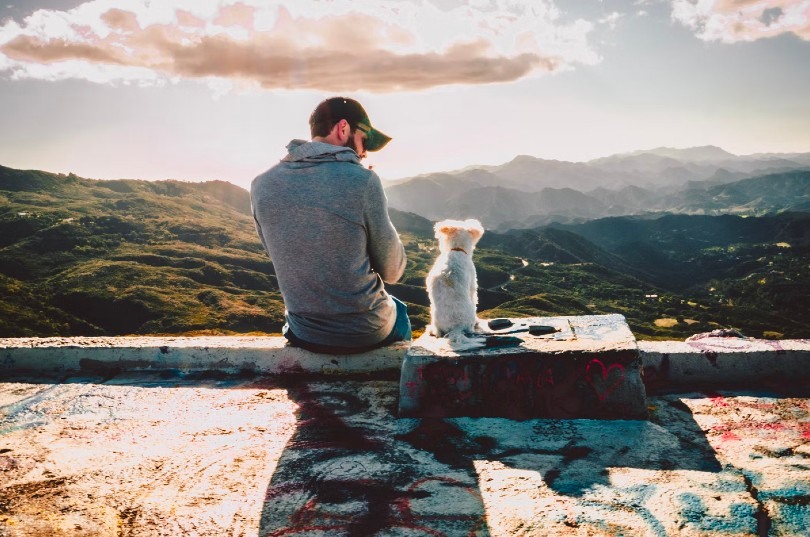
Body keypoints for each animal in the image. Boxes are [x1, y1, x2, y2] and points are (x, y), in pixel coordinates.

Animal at [426, 219, 482, 352]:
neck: (456, 250)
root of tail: (456, 328)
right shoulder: (473, 285)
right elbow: (475, 298)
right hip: (470, 316)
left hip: (433, 313)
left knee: (438, 332)